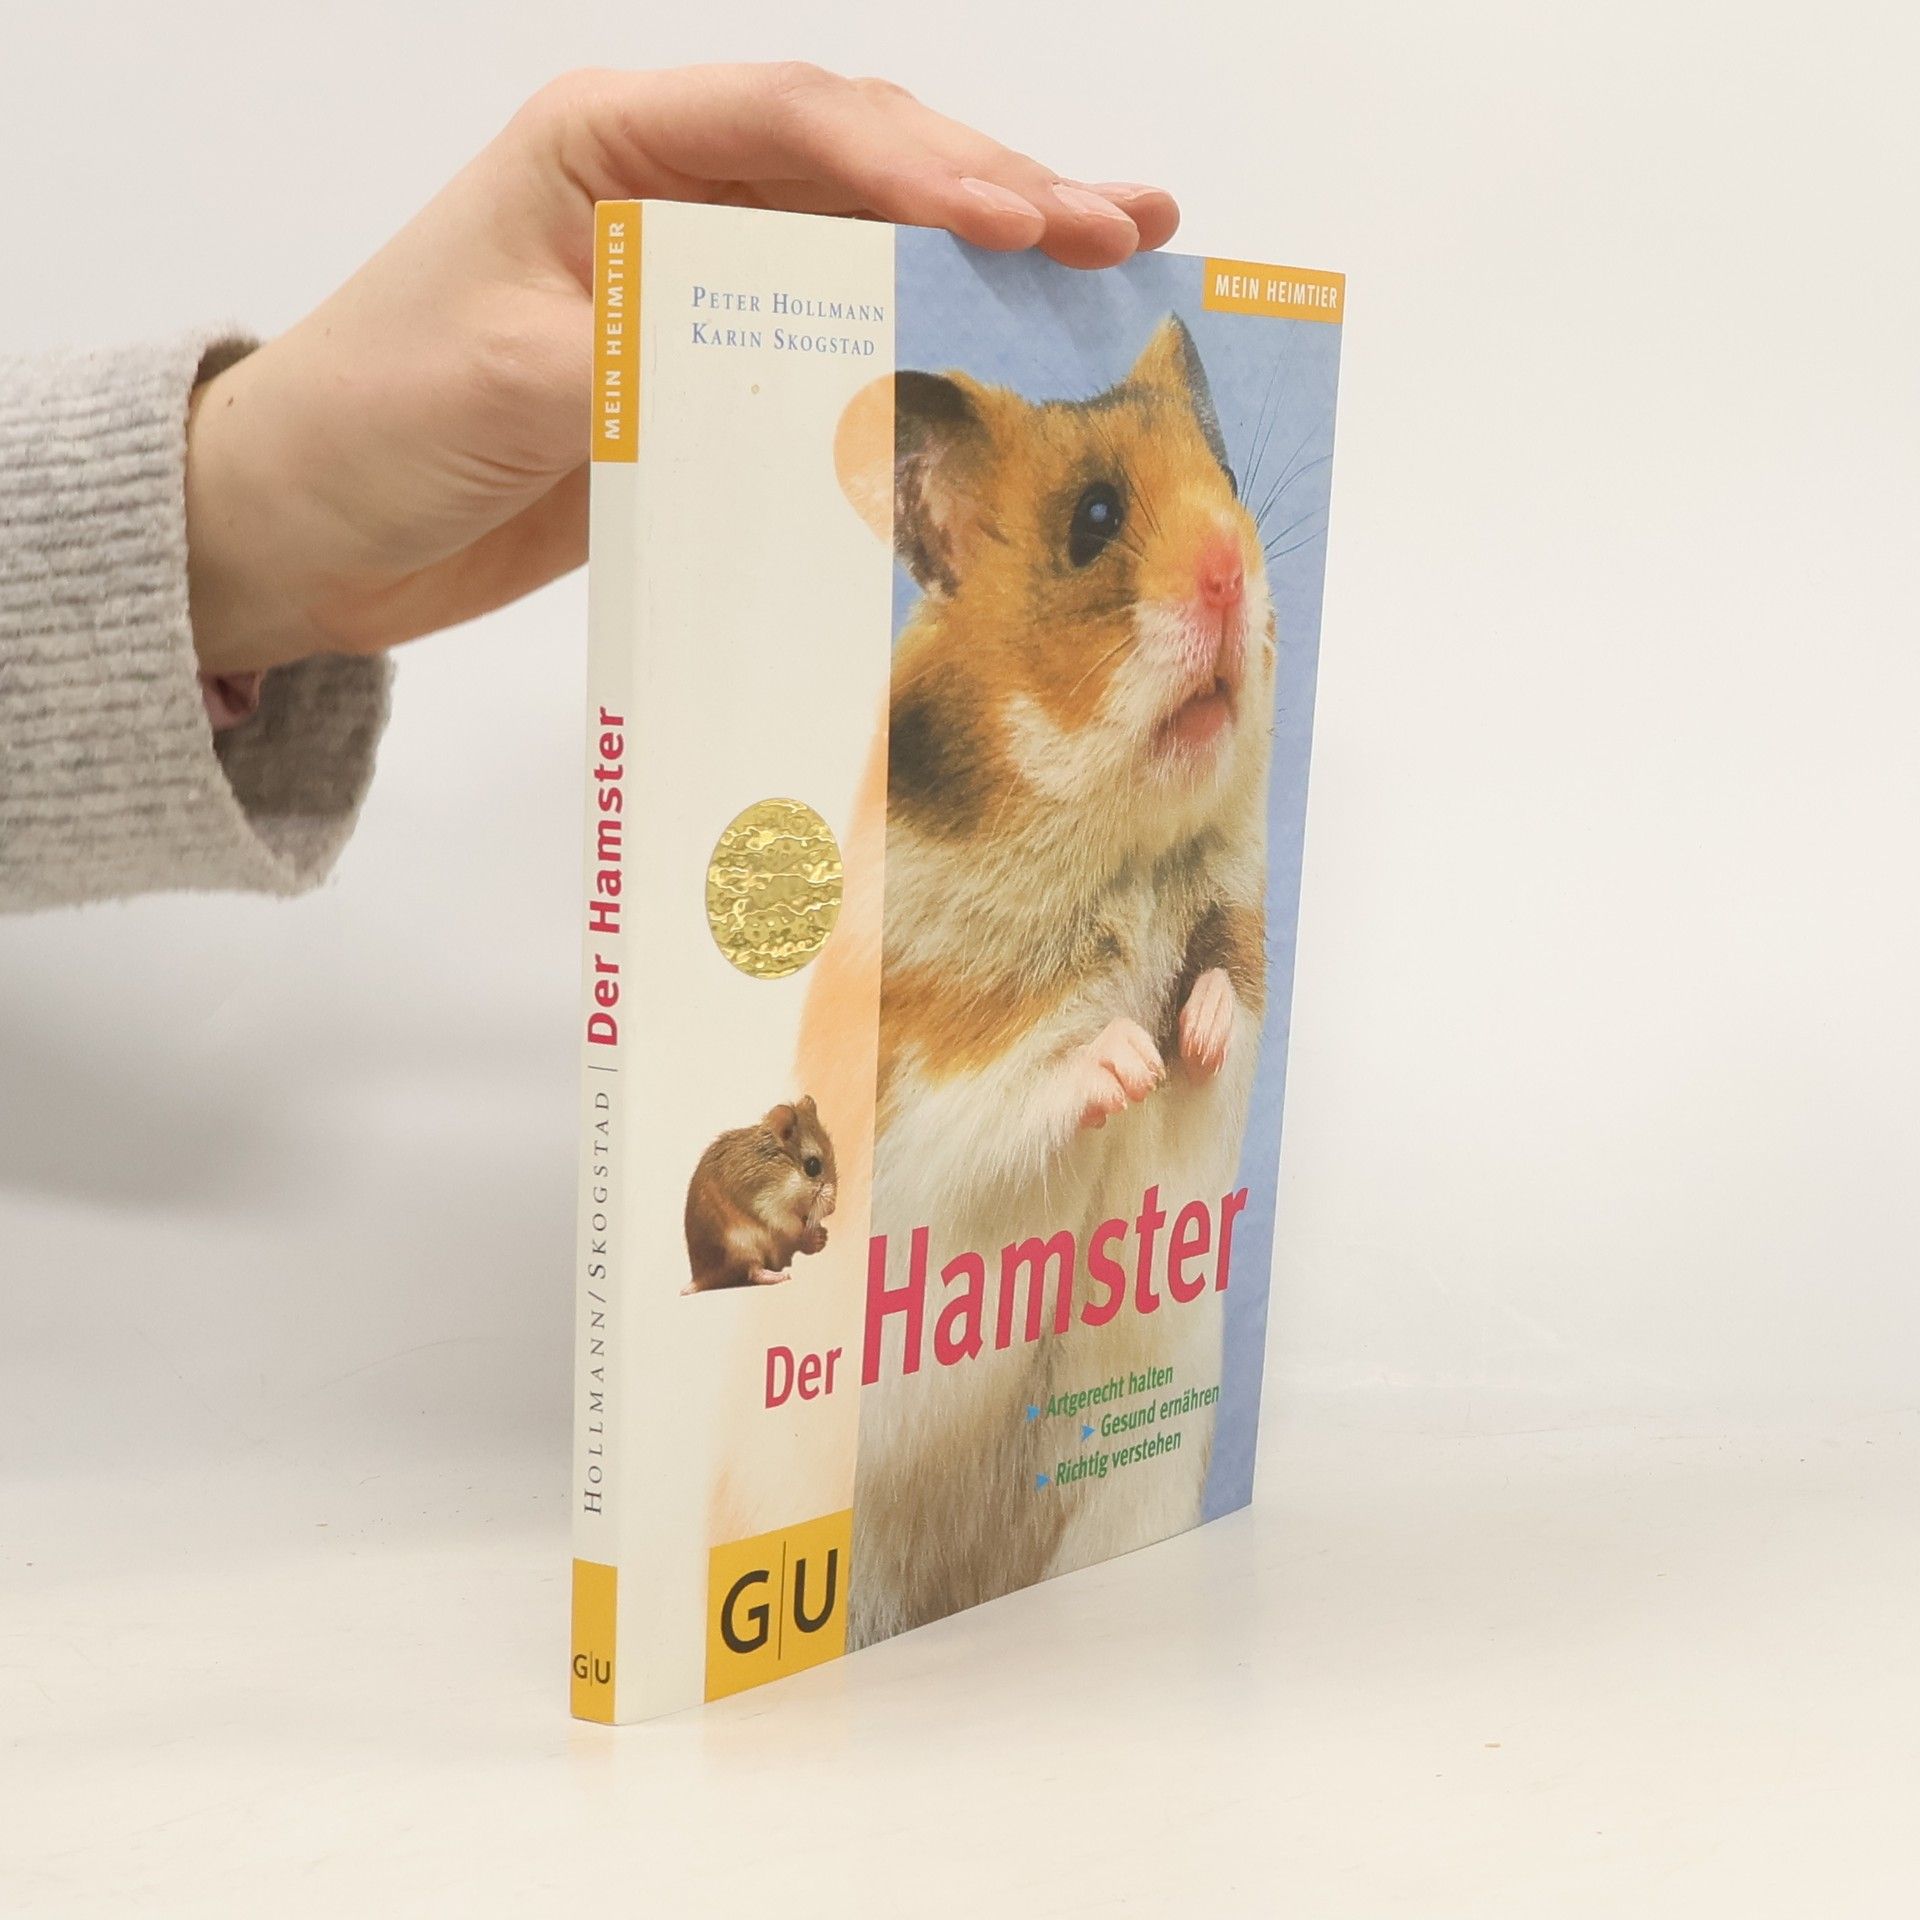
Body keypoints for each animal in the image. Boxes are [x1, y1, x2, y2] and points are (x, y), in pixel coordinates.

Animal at [682, 1096, 838, 1294]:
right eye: (812, 1166)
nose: (832, 1209)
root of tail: (700, 1278)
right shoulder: (771, 1207)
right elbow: (794, 1227)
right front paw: (813, 1234)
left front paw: (821, 1234)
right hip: (743, 1244)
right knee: (754, 1271)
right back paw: (783, 1273)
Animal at [820, 316, 1274, 1645]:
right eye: (1095, 517)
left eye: (1230, 484)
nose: (1234, 568)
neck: (1114, 862)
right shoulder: (920, 1130)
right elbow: (1010, 1103)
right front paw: (1120, 1055)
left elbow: (1225, 1025)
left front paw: (1193, 1030)